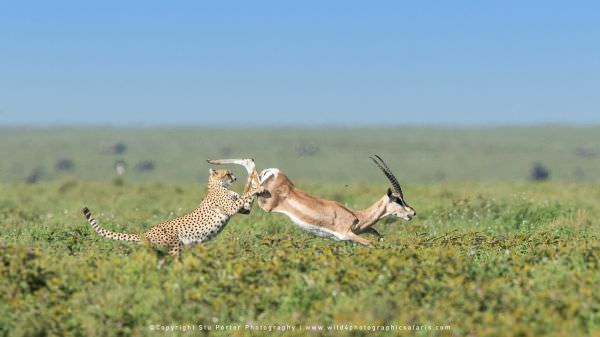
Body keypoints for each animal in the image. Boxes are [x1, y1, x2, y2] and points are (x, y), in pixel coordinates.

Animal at [82, 168, 264, 255]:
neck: (217, 186)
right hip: (175, 245)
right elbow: (243, 196)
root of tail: (148, 231)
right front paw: (258, 187)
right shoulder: (230, 208)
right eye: (228, 173)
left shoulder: (241, 209)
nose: (235, 178)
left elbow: (244, 203)